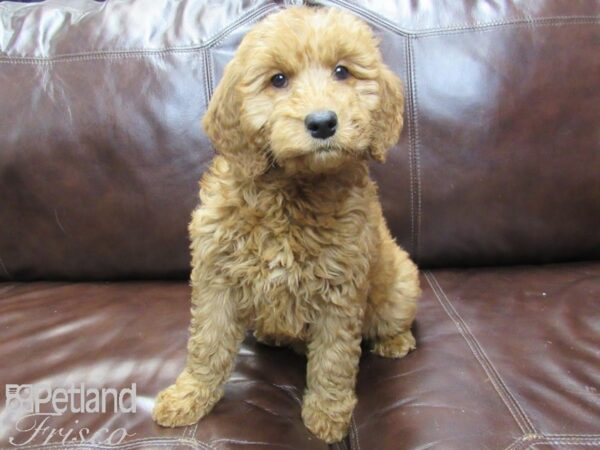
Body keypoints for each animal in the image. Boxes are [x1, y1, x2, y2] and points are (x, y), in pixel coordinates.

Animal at [152, 6, 420, 442]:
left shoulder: (340, 292)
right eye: (278, 79)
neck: (291, 191)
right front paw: (190, 396)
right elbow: (207, 343)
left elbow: (334, 358)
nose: (323, 122)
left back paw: (396, 341)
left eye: (342, 72)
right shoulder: (216, 278)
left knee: (393, 320)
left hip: (399, 286)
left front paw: (327, 415)